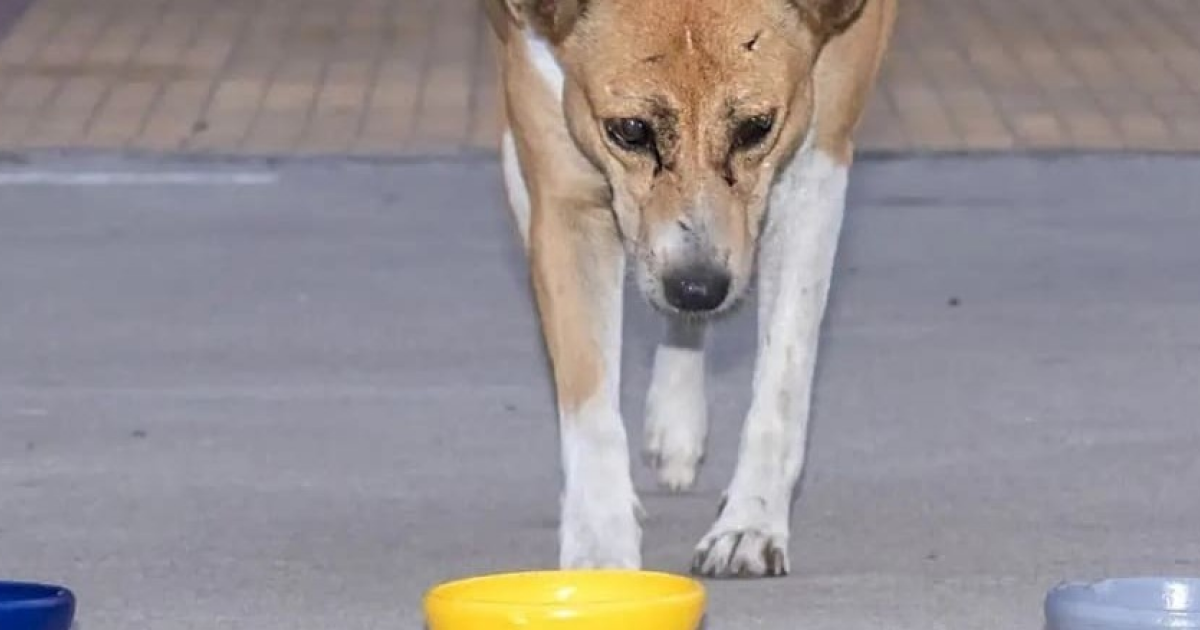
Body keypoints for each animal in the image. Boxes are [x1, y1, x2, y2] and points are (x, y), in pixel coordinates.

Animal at [484, 0, 892, 573]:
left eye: (756, 127)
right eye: (630, 130)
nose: (697, 288)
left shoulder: (815, 160)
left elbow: (783, 377)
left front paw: (750, 523)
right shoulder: (562, 181)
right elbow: (587, 393)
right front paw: (600, 547)